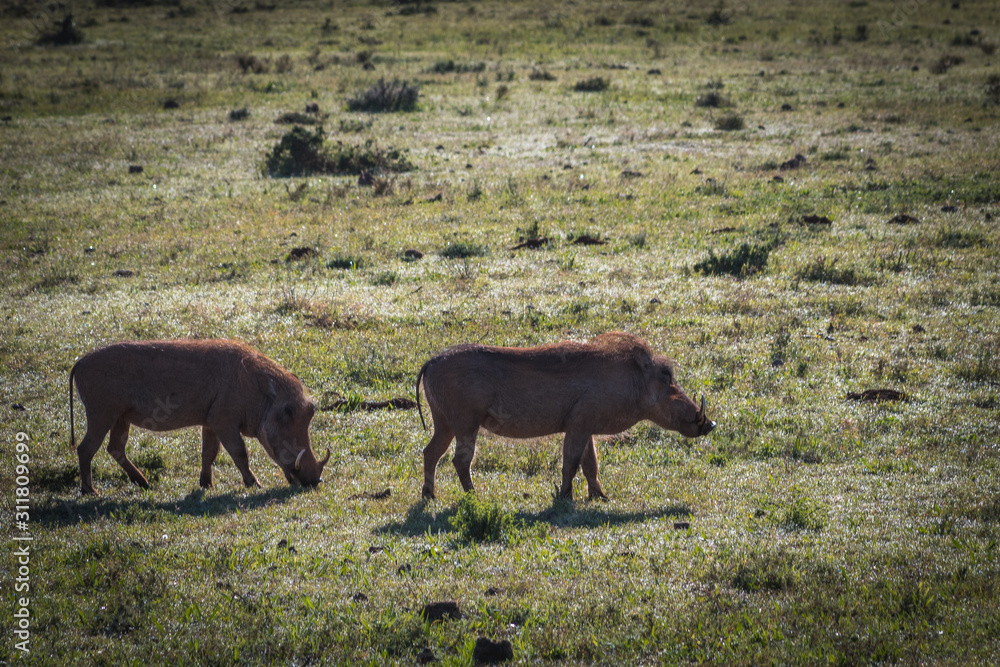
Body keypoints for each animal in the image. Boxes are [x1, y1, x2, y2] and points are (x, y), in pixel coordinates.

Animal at [69, 339, 328, 495]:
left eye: (310, 411)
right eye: (287, 412)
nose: (314, 481)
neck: (254, 388)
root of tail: (79, 363)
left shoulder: (211, 422)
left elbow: (209, 453)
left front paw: (206, 485)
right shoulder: (224, 422)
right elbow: (239, 453)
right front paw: (254, 484)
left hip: (120, 418)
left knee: (114, 449)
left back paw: (143, 483)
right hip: (101, 415)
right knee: (85, 449)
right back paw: (90, 491)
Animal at [415, 332, 715, 500]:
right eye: (666, 375)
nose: (710, 423)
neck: (630, 382)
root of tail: (430, 362)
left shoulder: (585, 428)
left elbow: (591, 465)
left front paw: (600, 498)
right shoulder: (579, 425)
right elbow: (570, 464)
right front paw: (565, 497)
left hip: (444, 424)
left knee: (430, 453)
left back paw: (430, 496)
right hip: (465, 423)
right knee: (459, 460)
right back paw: (474, 497)